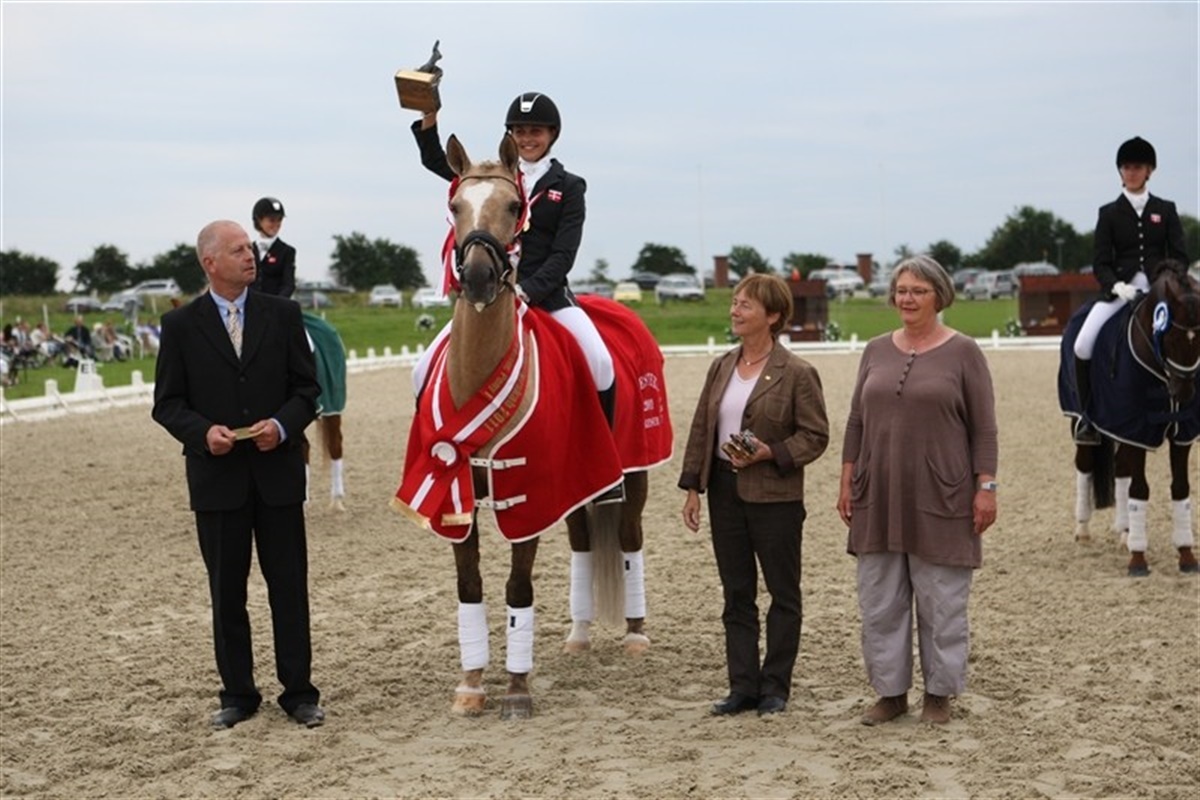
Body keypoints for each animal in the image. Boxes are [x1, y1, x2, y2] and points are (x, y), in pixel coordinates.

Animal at [392, 134, 672, 719]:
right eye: (455, 205)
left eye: (515, 207)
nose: (477, 278)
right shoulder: (456, 498)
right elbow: (470, 587)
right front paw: (472, 684)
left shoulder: (530, 493)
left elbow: (518, 590)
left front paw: (517, 690)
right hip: (580, 480)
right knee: (583, 544)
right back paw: (579, 635)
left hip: (633, 472)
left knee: (629, 538)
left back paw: (635, 635)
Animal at [1060, 260, 1200, 575]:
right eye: (1170, 337)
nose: (1184, 393)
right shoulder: (1139, 429)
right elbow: (1140, 489)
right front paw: (1139, 559)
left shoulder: (1179, 433)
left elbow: (1180, 489)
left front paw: (1186, 555)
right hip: (1080, 420)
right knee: (1084, 466)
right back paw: (1083, 530)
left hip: (1120, 426)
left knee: (1121, 468)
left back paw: (1124, 531)